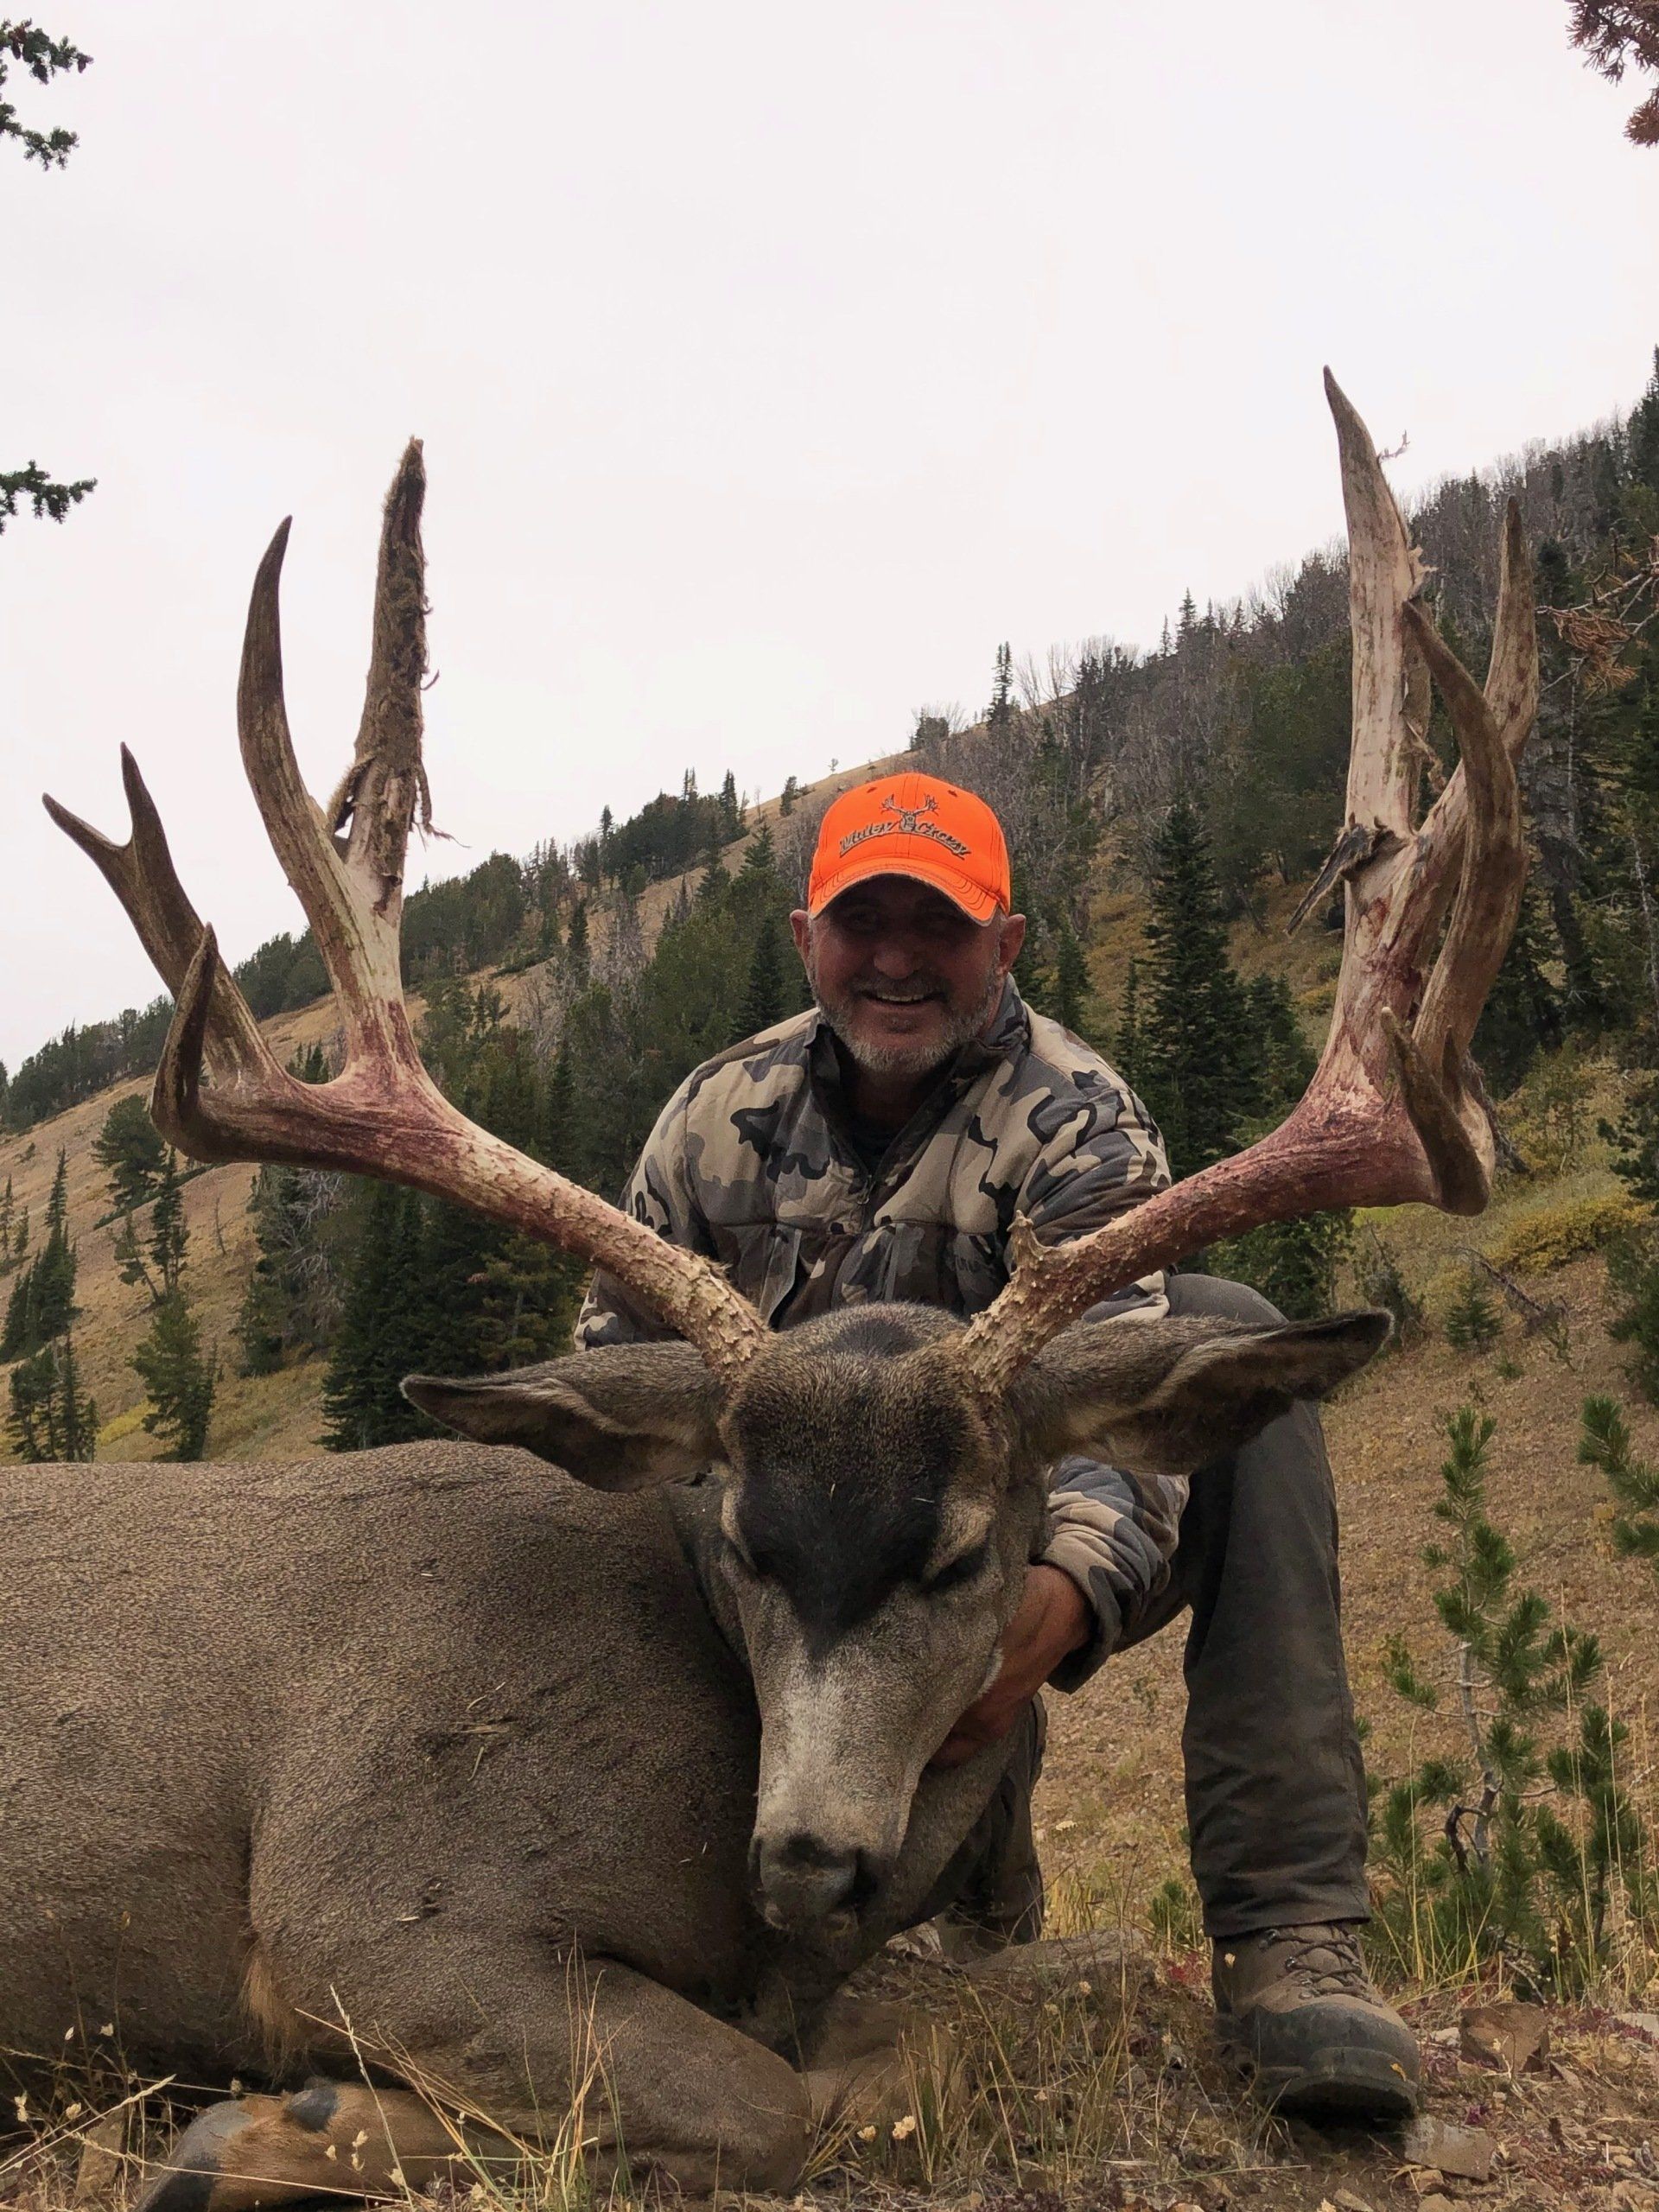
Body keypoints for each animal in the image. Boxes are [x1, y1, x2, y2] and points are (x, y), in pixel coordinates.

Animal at [3, 371, 1534, 2208]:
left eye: (960, 1555)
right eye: (739, 1538)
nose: (808, 1859)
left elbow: (935, 2040)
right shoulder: (358, 1898)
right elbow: (771, 2101)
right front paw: (258, 2128)